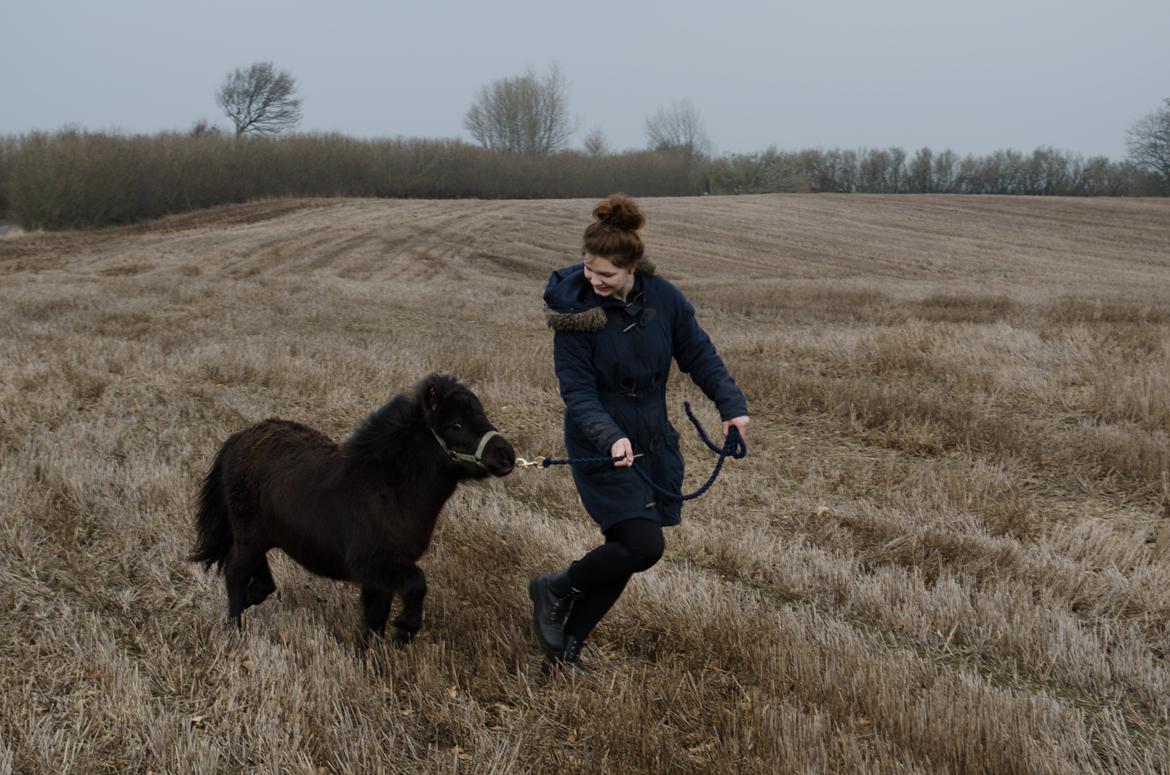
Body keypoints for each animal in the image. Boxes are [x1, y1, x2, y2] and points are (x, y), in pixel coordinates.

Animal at [190, 374, 512, 641]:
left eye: (483, 415)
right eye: (456, 425)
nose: (507, 456)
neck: (390, 489)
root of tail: (239, 438)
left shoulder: (378, 579)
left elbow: (375, 620)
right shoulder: (374, 563)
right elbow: (416, 585)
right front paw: (404, 629)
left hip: (261, 533)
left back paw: (251, 597)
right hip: (248, 532)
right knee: (235, 571)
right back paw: (234, 628)